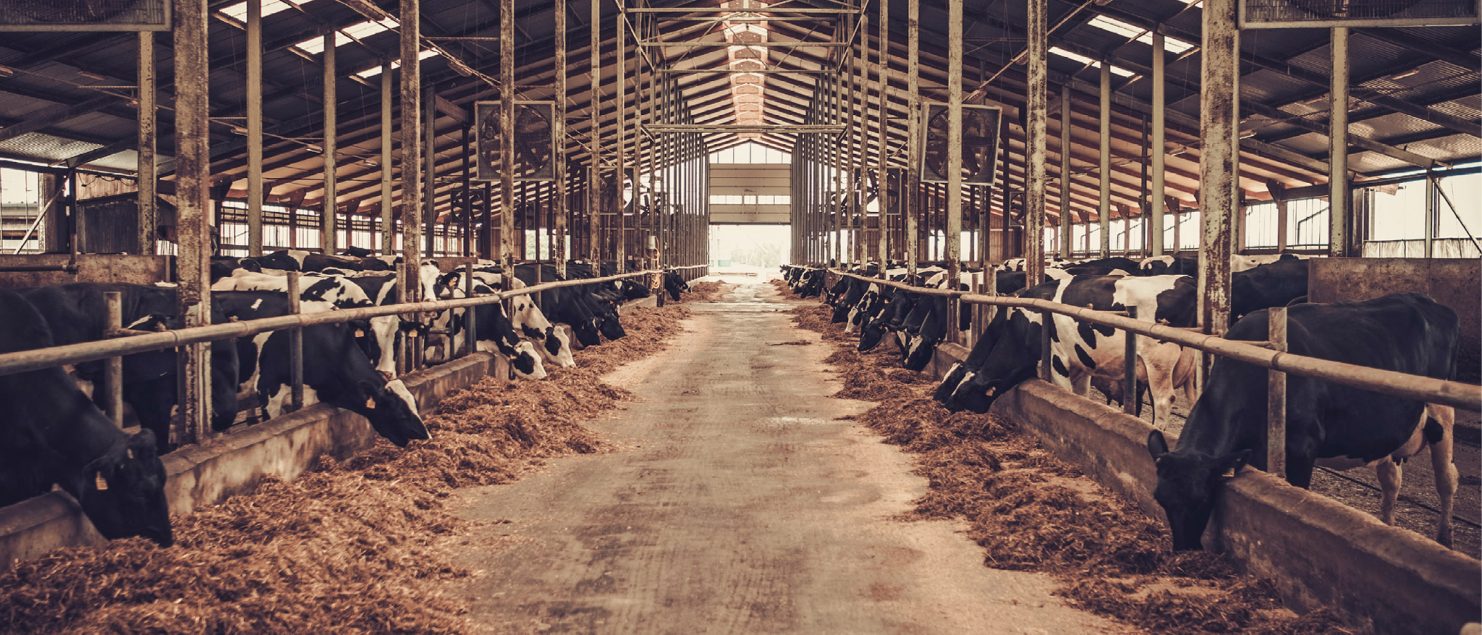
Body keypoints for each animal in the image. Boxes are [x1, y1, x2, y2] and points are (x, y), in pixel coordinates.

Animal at [1144, 295, 1458, 548]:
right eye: (1160, 498)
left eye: (1201, 498)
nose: (1184, 548)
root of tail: (1431, 303)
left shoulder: (1302, 449)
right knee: (1392, 480)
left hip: (1443, 413)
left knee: (1446, 479)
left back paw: (1445, 540)